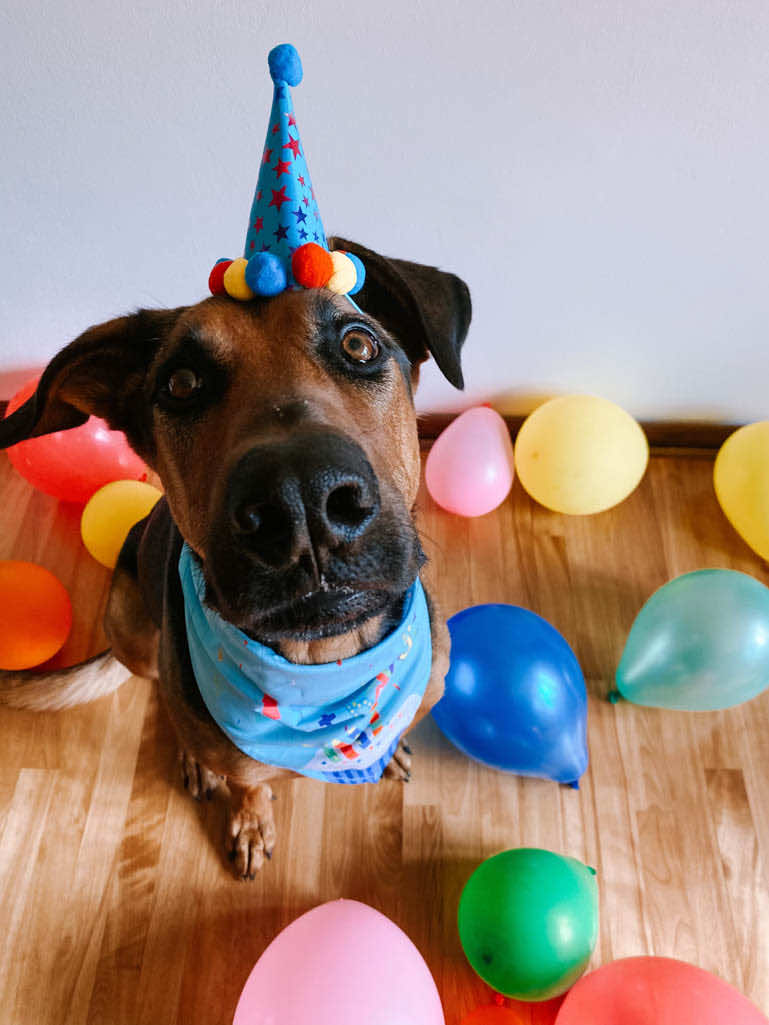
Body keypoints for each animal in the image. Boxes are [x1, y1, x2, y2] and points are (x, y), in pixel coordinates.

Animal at [0, 235, 469, 877]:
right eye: (181, 383)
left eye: (358, 344)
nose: (302, 499)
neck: (323, 666)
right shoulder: (237, 753)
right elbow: (248, 782)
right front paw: (249, 819)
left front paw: (389, 749)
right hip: (130, 624)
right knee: (163, 695)